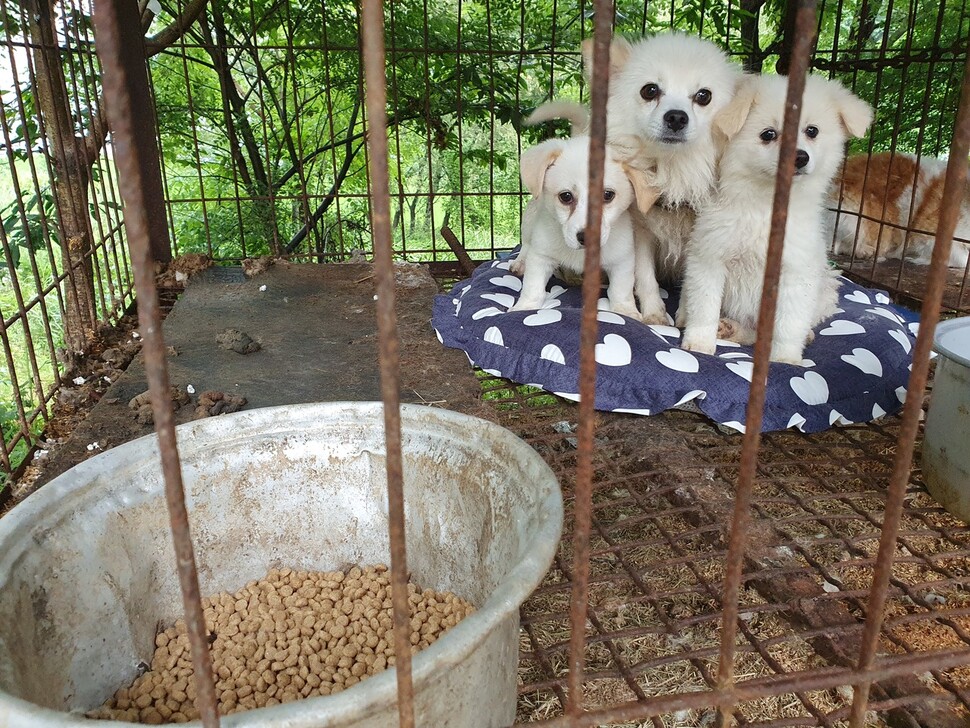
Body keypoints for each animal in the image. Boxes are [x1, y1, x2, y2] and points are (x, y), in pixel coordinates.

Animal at [676, 74, 872, 364]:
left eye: (812, 131)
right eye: (768, 134)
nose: (799, 157)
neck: (767, 208)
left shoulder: (796, 273)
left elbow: (789, 325)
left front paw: (785, 360)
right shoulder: (710, 258)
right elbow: (704, 308)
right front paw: (699, 343)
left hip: (825, 290)